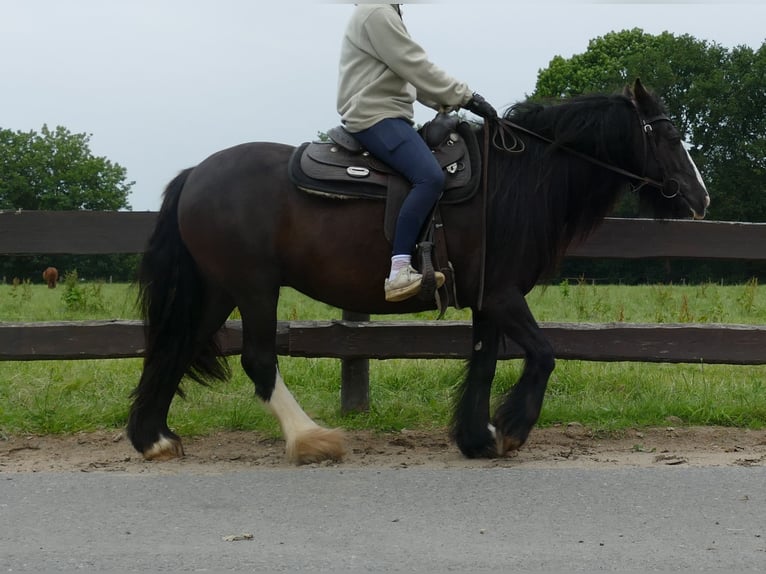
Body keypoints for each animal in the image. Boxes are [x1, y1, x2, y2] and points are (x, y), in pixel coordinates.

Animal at [126, 81, 708, 466]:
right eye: (666, 135)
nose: (699, 198)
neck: (515, 181)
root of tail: (195, 174)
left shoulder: (488, 299)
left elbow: (484, 362)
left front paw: (477, 437)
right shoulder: (503, 295)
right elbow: (543, 355)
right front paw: (512, 429)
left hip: (218, 288)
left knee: (176, 345)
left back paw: (152, 437)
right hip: (253, 287)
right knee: (257, 358)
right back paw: (310, 439)